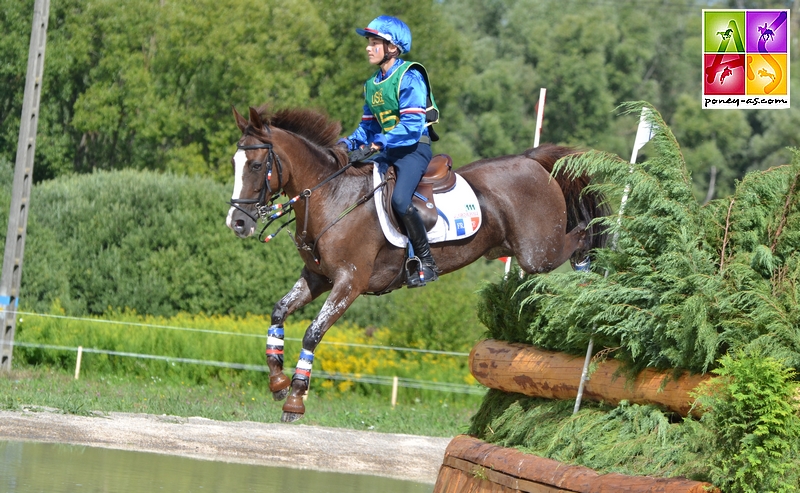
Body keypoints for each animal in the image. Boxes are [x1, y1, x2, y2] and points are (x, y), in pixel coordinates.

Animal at [225, 104, 608, 418]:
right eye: (234, 164)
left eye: (256, 165)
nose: (237, 223)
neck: (332, 197)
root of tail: (531, 160)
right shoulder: (318, 277)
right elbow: (279, 312)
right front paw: (277, 381)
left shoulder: (349, 282)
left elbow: (313, 333)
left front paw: (295, 398)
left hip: (538, 252)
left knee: (583, 234)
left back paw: (589, 279)